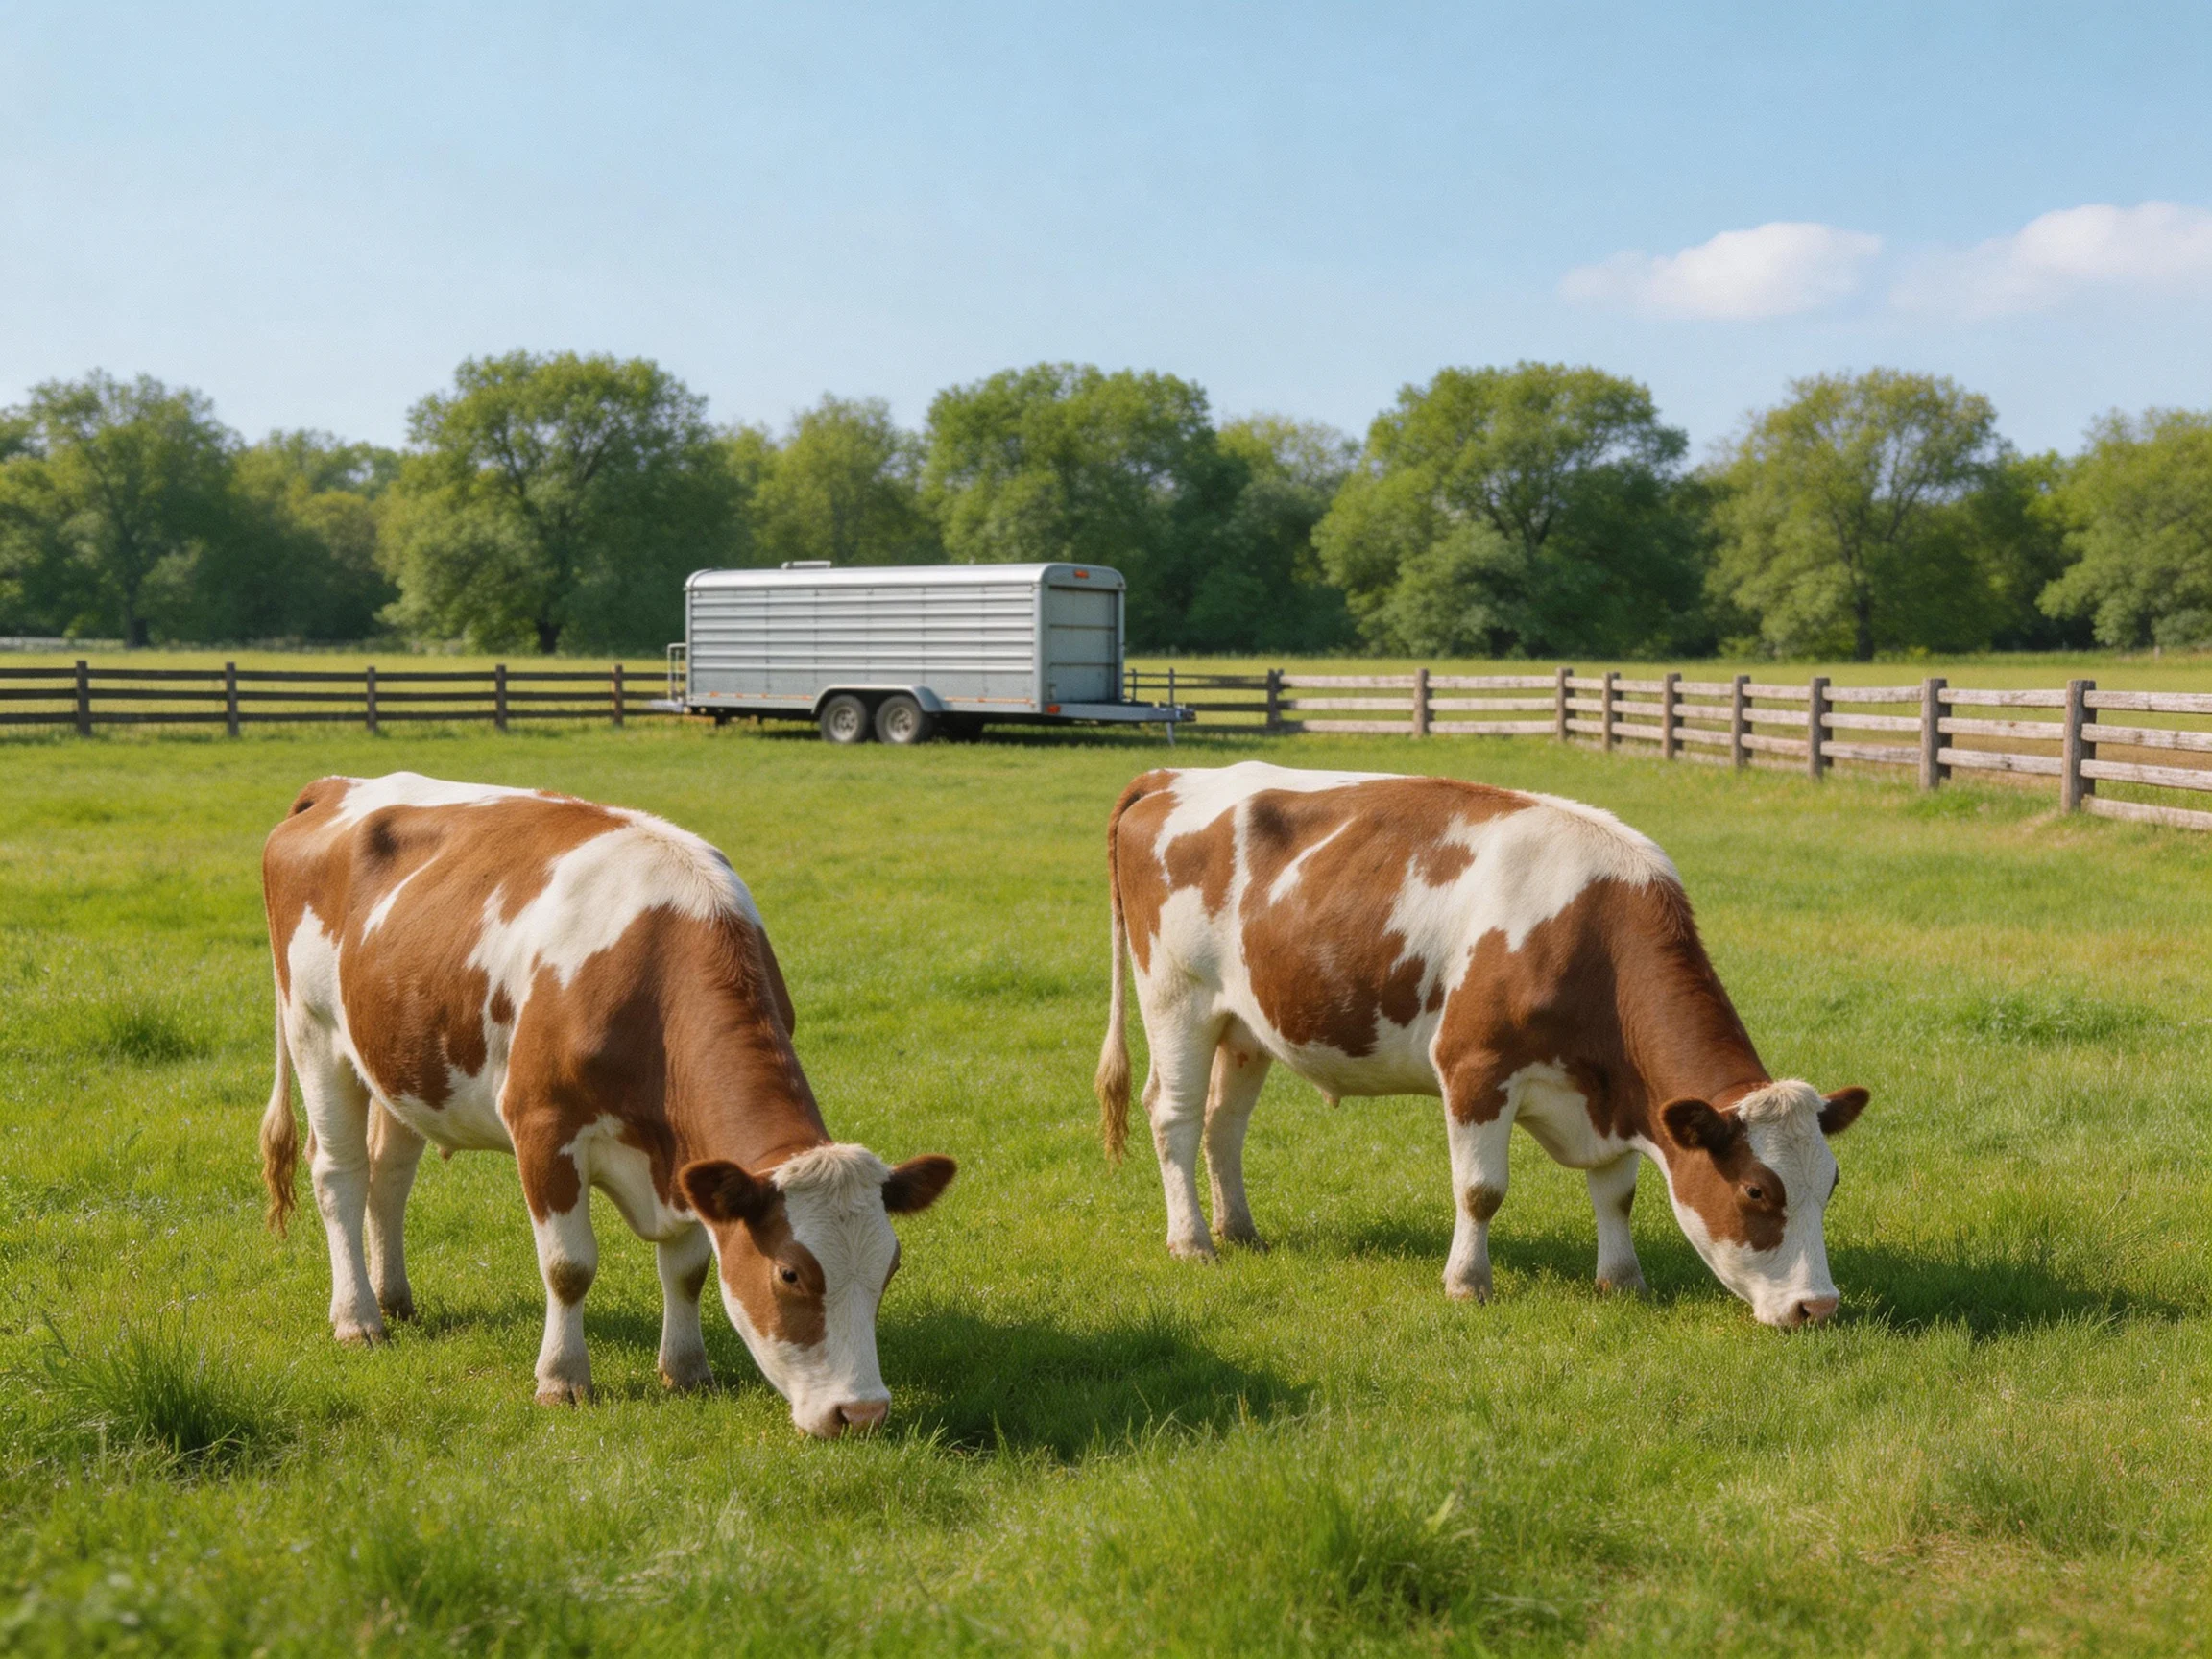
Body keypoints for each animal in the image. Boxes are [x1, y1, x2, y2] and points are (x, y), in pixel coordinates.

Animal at [259, 772, 956, 1436]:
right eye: (790, 1273)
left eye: (890, 1266)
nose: (860, 1413)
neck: (655, 968)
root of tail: (338, 787)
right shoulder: (543, 1126)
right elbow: (569, 1267)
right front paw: (563, 1380)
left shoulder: (685, 1161)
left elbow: (687, 1269)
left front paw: (687, 1369)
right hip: (315, 1032)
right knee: (341, 1175)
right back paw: (359, 1319)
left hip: (401, 1059)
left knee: (390, 1174)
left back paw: (395, 1299)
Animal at [1093, 762, 1868, 1328]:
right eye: (1756, 1190)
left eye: (1829, 1183)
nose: (1819, 1307)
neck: (1590, 935)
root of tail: (1173, 775)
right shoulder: (1474, 1068)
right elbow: (1481, 1190)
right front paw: (1468, 1284)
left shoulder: (1614, 1093)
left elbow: (1616, 1194)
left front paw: (1622, 1281)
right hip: (1176, 998)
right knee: (1174, 1115)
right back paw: (1193, 1242)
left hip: (1246, 1024)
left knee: (1223, 1124)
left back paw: (1240, 1230)